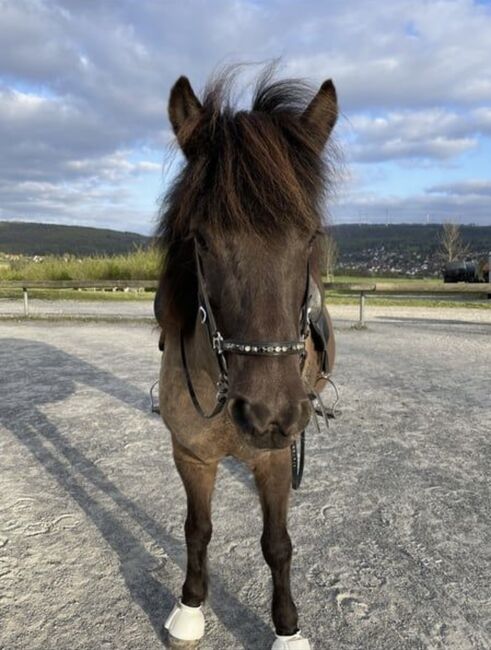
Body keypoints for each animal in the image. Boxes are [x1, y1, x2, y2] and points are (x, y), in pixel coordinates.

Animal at [154, 67, 338, 648]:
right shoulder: (191, 456)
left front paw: (287, 629)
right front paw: (190, 605)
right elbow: (197, 529)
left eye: (309, 237)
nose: (269, 414)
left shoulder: (272, 460)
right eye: (202, 240)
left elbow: (277, 543)